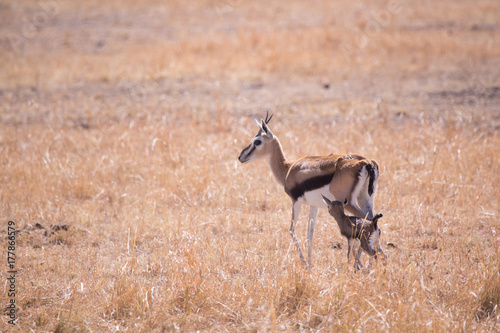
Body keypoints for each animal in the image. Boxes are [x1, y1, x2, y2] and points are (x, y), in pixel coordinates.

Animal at [238, 113, 378, 266]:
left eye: (257, 142)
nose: (241, 157)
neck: (288, 169)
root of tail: (366, 162)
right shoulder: (314, 205)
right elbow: (310, 233)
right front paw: (310, 264)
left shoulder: (296, 201)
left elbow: (292, 230)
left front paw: (304, 263)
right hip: (365, 199)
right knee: (372, 219)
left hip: (349, 203)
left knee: (367, 220)